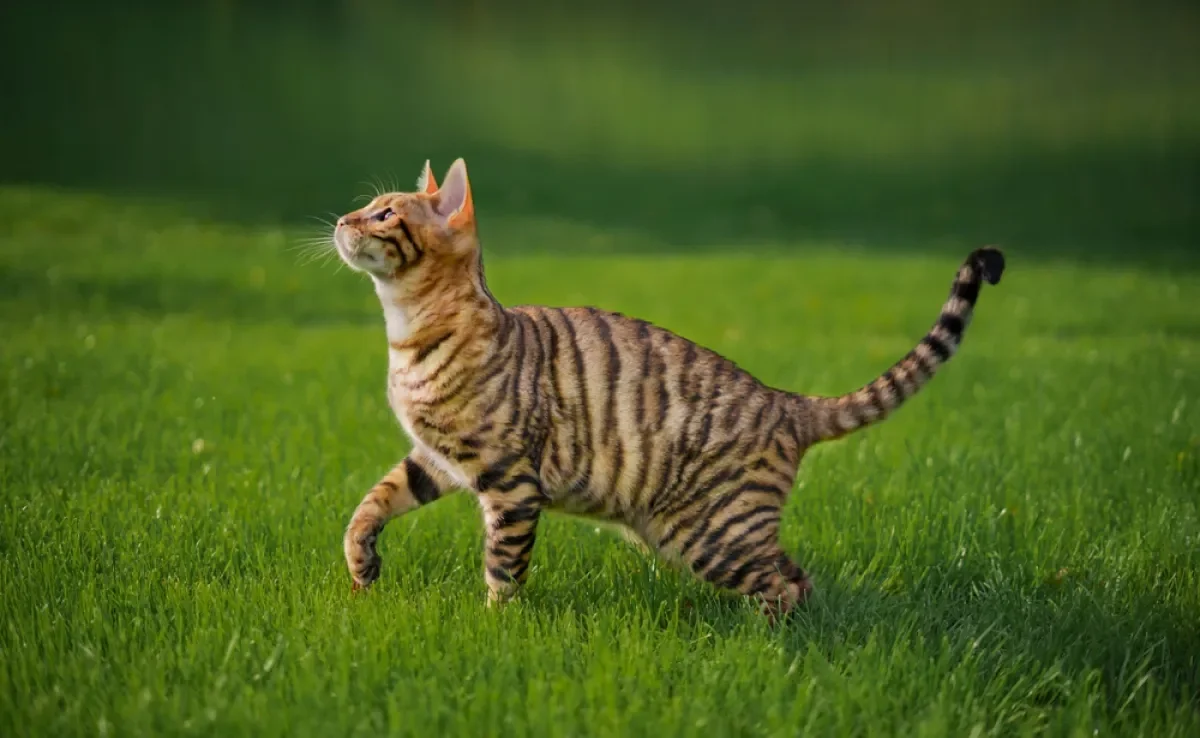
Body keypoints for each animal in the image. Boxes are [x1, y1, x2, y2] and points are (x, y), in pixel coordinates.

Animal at [336, 158, 1003, 619]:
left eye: (386, 213)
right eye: (367, 205)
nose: (342, 219)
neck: (408, 333)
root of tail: (786, 401)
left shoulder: (510, 482)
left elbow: (503, 568)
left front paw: (495, 626)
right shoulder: (436, 458)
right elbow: (369, 505)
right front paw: (362, 572)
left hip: (711, 534)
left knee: (782, 587)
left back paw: (761, 650)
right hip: (701, 533)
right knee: (798, 576)